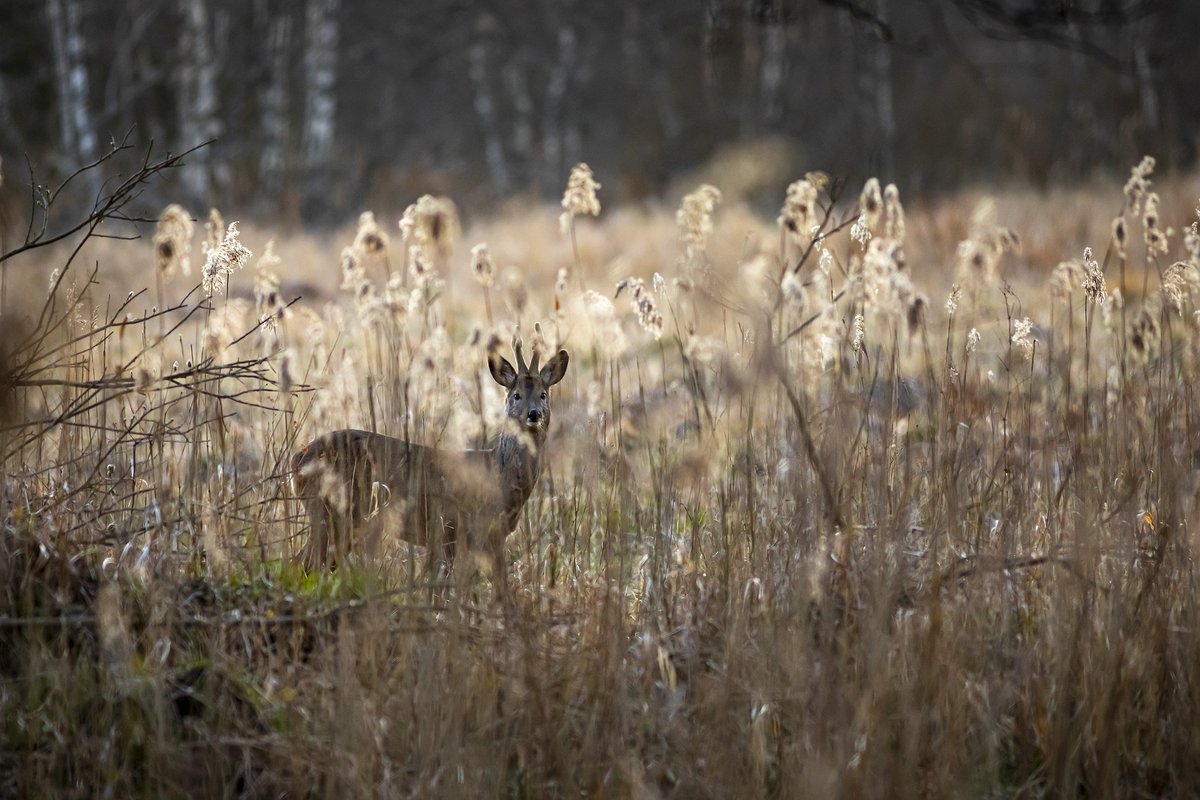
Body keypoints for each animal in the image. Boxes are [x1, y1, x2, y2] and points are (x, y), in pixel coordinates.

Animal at [292, 340, 568, 597]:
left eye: (543, 394)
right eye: (516, 395)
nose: (533, 414)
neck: (499, 477)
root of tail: (297, 460)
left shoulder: (486, 537)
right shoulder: (450, 527)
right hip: (330, 512)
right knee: (305, 564)